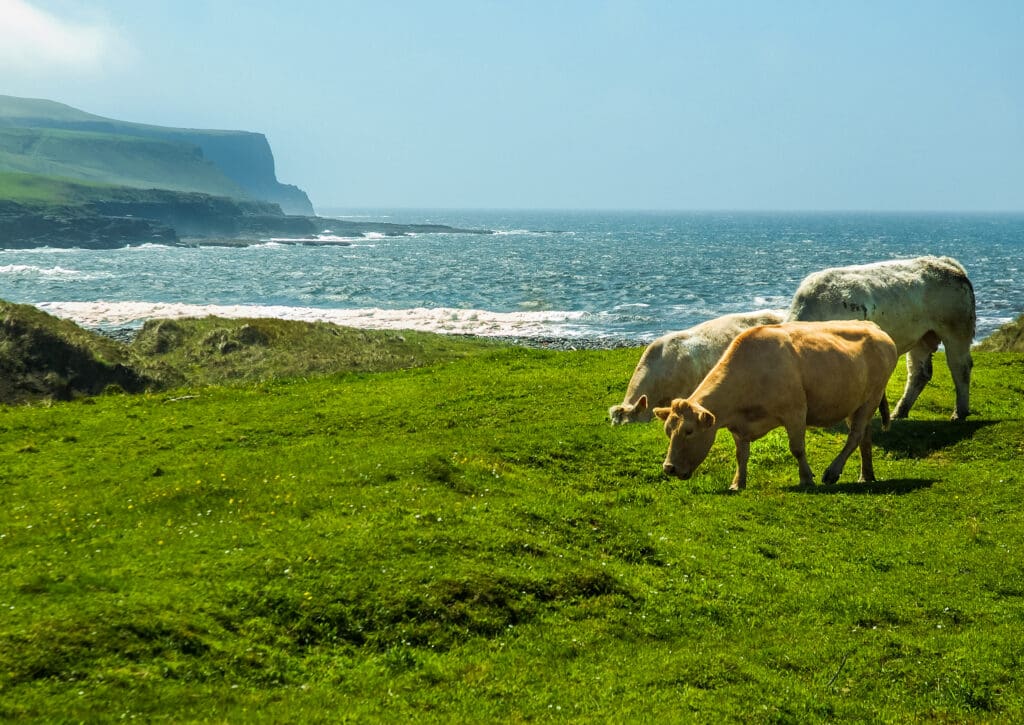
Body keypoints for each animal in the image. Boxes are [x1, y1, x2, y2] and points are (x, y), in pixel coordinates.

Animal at [654, 321, 898, 491]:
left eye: (689, 431)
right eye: (668, 431)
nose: (669, 468)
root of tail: (874, 327)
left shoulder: (796, 412)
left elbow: (797, 448)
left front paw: (806, 478)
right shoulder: (738, 425)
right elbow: (741, 454)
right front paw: (738, 483)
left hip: (872, 396)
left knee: (855, 436)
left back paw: (832, 472)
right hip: (855, 401)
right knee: (864, 436)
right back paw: (866, 476)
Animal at [787, 256, 975, 421]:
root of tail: (948, 264)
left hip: (957, 331)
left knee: (961, 368)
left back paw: (959, 412)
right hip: (922, 337)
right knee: (920, 373)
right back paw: (900, 411)